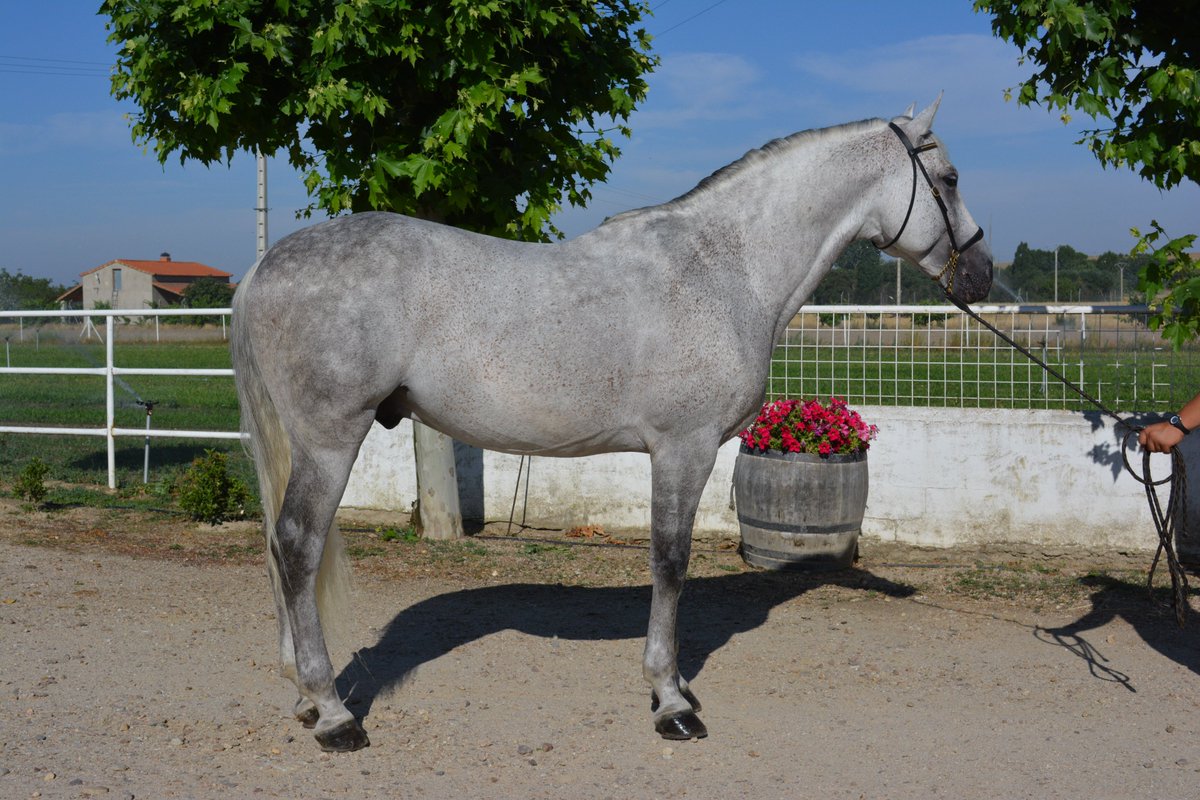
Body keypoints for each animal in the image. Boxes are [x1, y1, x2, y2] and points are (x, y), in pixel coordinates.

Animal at [231, 99, 992, 752]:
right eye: (951, 179)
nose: (982, 274)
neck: (725, 268)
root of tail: (265, 264)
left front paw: (677, 687)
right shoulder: (684, 449)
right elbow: (670, 562)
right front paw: (671, 701)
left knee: (278, 548)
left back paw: (303, 696)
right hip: (330, 439)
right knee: (297, 546)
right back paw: (332, 713)